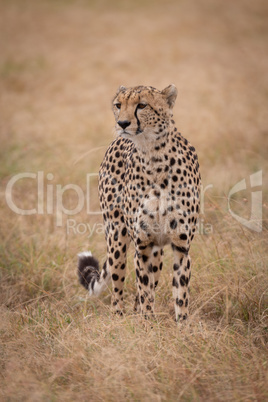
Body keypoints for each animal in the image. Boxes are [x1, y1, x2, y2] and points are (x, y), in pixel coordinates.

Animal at [78, 85, 201, 324]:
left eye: (142, 105)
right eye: (118, 105)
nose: (123, 123)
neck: (154, 156)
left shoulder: (180, 245)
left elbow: (180, 292)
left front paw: (183, 326)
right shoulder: (142, 244)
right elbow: (143, 288)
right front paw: (146, 324)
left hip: (157, 251)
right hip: (117, 237)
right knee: (118, 283)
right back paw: (118, 316)